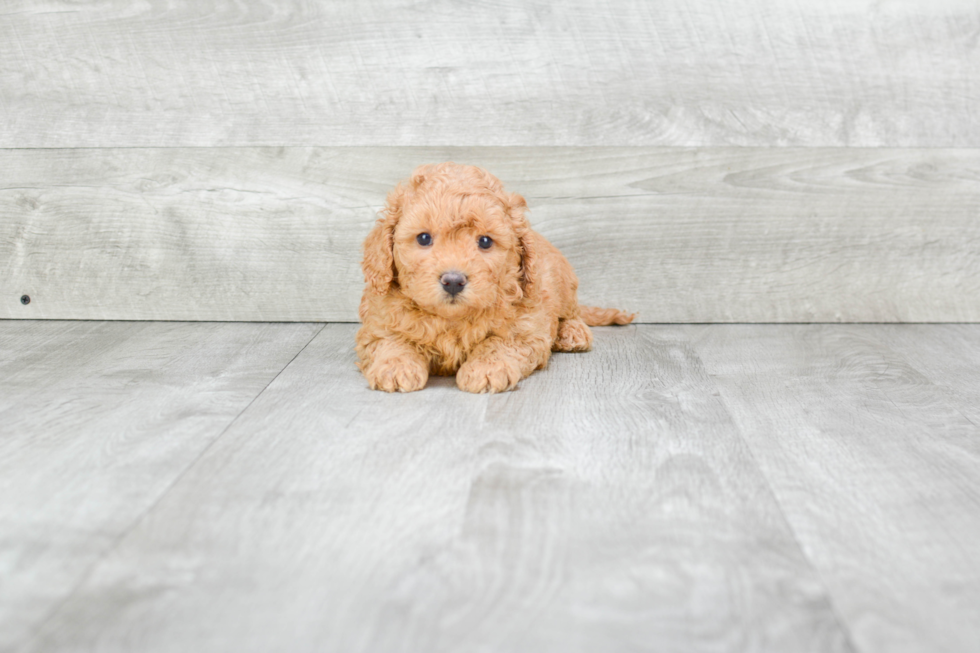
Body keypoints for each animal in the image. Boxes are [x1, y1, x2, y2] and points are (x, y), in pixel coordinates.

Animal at [356, 162, 632, 392]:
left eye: (485, 241)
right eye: (423, 238)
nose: (453, 281)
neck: (452, 319)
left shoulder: (526, 326)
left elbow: (499, 343)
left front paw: (486, 369)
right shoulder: (378, 324)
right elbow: (392, 341)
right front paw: (395, 366)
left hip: (563, 281)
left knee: (571, 313)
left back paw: (573, 333)